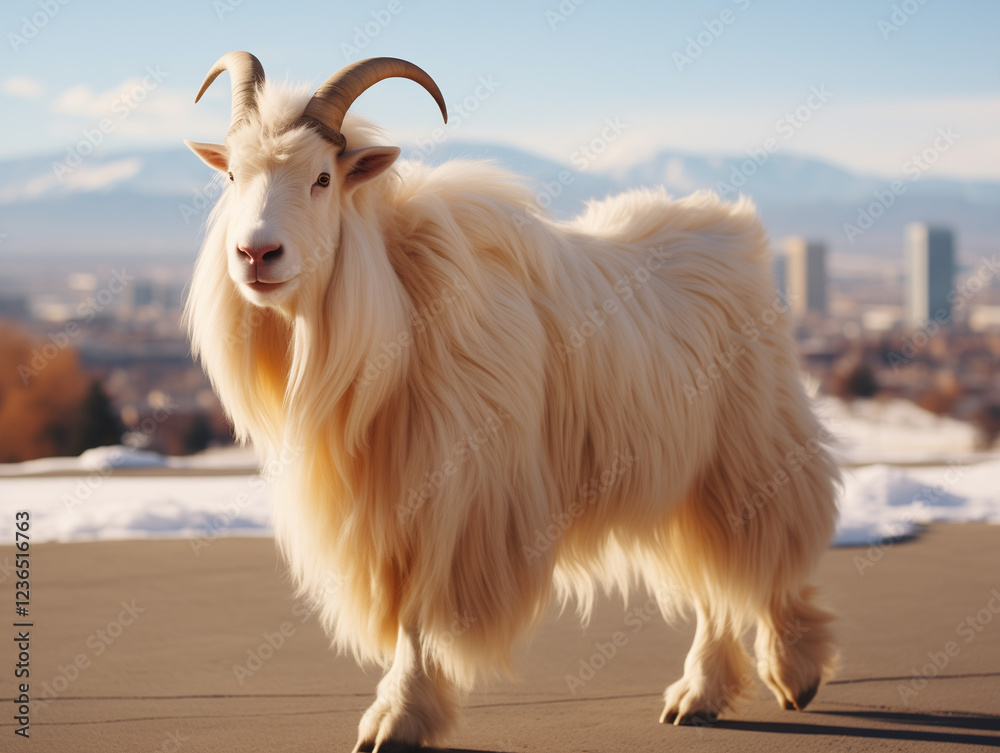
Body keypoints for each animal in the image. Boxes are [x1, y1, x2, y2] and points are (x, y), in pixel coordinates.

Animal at [184, 51, 839, 751]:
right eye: (232, 173)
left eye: (324, 178)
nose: (256, 254)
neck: (401, 305)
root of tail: (736, 229)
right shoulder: (394, 503)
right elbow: (406, 611)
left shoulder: (456, 496)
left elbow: (419, 615)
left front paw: (397, 719)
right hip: (687, 474)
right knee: (714, 578)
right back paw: (701, 693)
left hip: (747, 448)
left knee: (765, 550)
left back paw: (792, 672)